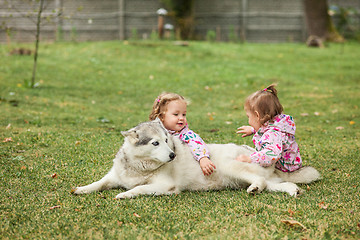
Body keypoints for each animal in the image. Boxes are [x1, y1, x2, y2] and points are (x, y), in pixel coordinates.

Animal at [71, 118, 320, 199]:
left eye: (166, 140)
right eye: (155, 143)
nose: (172, 155)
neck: (140, 168)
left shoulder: (165, 187)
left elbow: (139, 189)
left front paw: (125, 194)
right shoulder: (114, 176)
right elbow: (98, 183)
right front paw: (81, 189)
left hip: (230, 166)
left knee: (260, 181)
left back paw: (255, 188)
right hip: (265, 180)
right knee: (274, 184)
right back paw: (291, 190)